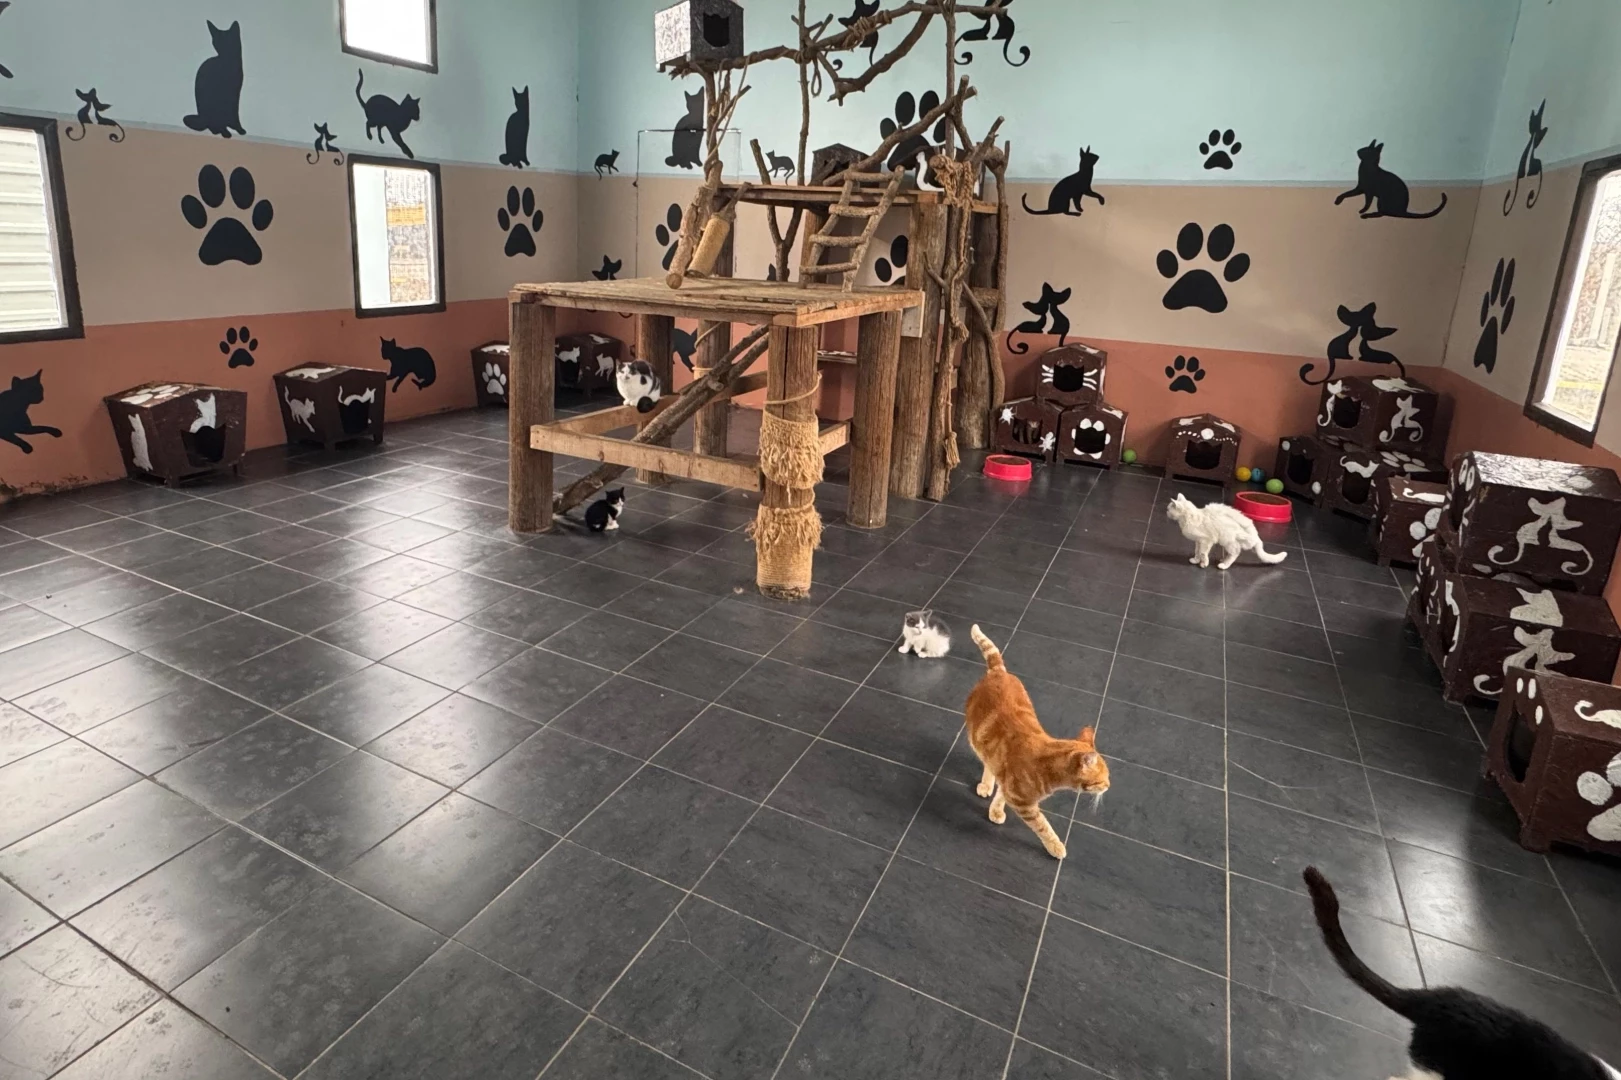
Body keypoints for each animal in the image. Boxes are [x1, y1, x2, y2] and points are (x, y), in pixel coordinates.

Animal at [965, 625, 1110, 860]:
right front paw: (1056, 846)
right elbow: (1044, 827)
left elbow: (1001, 795)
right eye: (1103, 779)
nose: (1109, 786)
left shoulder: (1010, 787)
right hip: (975, 738)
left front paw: (995, 810)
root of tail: (999, 671)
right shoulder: (1025, 805)